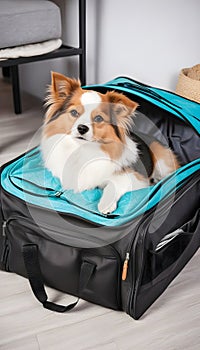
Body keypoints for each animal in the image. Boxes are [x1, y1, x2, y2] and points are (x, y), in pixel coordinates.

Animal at [41, 73, 180, 215]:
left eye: (98, 118)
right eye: (74, 112)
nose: (82, 128)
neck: (82, 148)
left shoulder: (137, 179)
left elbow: (113, 185)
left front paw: (106, 205)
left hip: (161, 159)